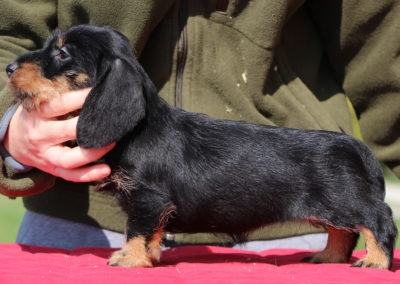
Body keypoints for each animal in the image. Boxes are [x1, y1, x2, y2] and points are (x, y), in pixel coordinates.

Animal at [5, 25, 396, 270]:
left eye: (63, 53)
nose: (8, 68)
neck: (138, 130)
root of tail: (356, 145)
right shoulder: (151, 205)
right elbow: (151, 234)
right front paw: (149, 257)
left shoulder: (147, 198)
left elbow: (136, 230)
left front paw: (128, 259)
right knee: (342, 233)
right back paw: (328, 258)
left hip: (347, 201)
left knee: (379, 222)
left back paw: (376, 261)